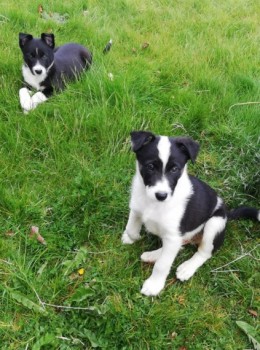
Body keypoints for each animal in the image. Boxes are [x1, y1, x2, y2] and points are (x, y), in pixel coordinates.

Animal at [122, 131, 260, 296]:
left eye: (175, 169)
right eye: (150, 166)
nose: (161, 195)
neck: (153, 203)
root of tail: (227, 212)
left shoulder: (173, 235)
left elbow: (163, 264)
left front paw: (154, 285)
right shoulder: (136, 208)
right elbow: (131, 228)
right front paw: (131, 237)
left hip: (214, 224)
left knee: (203, 252)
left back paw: (187, 267)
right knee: (181, 244)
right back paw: (153, 254)